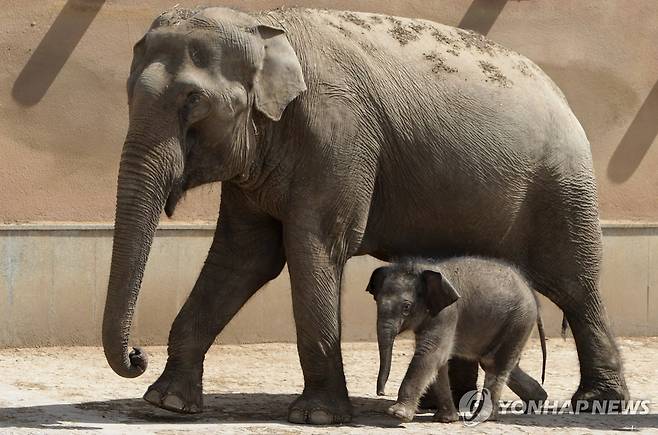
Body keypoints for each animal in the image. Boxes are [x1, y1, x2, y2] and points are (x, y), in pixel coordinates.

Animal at [366, 258, 544, 424]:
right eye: (377, 301)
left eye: (406, 307)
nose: (381, 392)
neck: (423, 269)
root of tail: (530, 289)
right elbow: (440, 361)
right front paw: (446, 419)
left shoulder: (448, 313)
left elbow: (431, 353)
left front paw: (397, 414)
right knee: (496, 362)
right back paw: (537, 400)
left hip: (519, 320)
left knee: (496, 363)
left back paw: (482, 417)